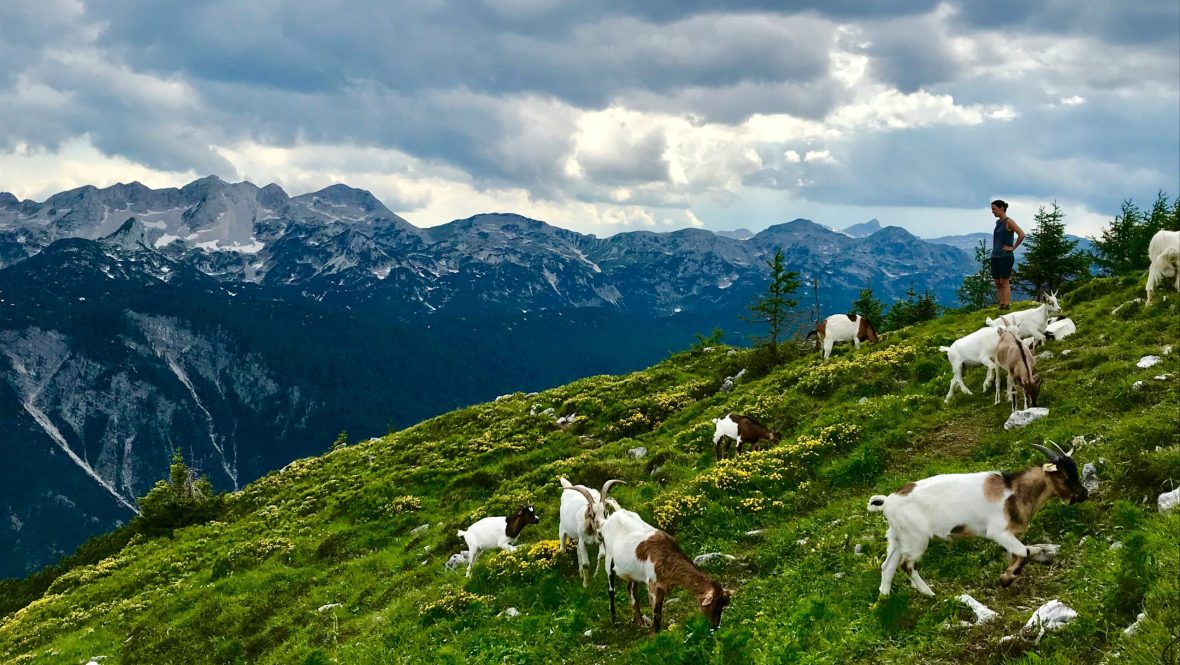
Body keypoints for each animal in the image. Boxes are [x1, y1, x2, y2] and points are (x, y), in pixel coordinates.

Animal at [868, 443, 1085, 594]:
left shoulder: (1010, 536)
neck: (1014, 491)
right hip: (916, 539)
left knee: (888, 566)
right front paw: (1005, 579)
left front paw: (1008, 576)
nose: (1084, 494)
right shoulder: (998, 533)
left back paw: (884, 600)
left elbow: (1021, 554)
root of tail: (888, 502)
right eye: (1064, 476)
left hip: (897, 538)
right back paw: (930, 594)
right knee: (907, 565)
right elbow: (1024, 553)